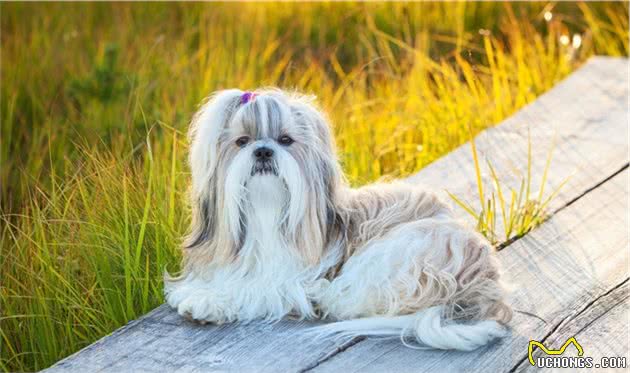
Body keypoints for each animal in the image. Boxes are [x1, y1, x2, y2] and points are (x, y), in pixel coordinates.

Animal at [164, 88, 512, 350]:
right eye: (242, 142)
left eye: (286, 140)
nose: (263, 151)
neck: (266, 215)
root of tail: (486, 284)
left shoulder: (290, 281)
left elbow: (256, 290)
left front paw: (207, 301)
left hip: (408, 245)